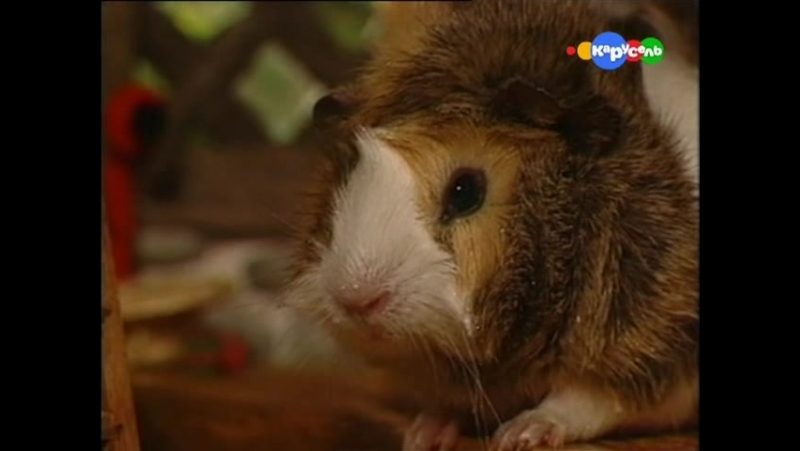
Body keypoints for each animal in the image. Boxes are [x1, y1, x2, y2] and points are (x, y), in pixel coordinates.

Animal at [282, 1, 698, 450]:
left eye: (466, 191)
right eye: (348, 173)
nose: (356, 299)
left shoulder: (651, 350)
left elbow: (585, 399)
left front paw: (521, 434)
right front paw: (423, 434)